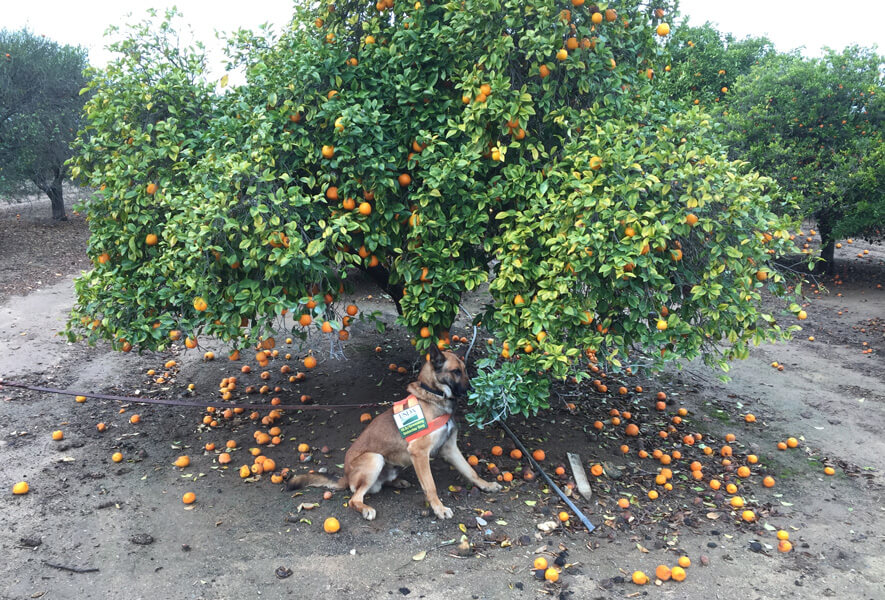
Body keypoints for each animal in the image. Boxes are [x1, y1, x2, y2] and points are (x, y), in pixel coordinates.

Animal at [286, 344, 500, 516]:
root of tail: (345, 477)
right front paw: (439, 509)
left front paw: (487, 485)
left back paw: (397, 482)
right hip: (375, 459)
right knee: (355, 498)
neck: (433, 396)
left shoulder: (450, 449)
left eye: (464, 370)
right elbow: (430, 486)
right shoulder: (419, 453)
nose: (473, 390)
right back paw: (365, 509)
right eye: (455, 371)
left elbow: (471, 471)